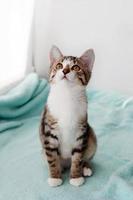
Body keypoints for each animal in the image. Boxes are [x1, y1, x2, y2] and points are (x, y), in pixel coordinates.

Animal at [39, 46, 96, 187]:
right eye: (59, 65)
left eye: (76, 67)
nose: (65, 71)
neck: (67, 95)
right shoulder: (49, 131)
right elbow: (52, 158)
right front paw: (55, 177)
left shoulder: (81, 131)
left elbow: (78, 158)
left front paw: (76, 177)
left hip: (91, 137)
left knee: (85, 157)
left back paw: (86, 168)